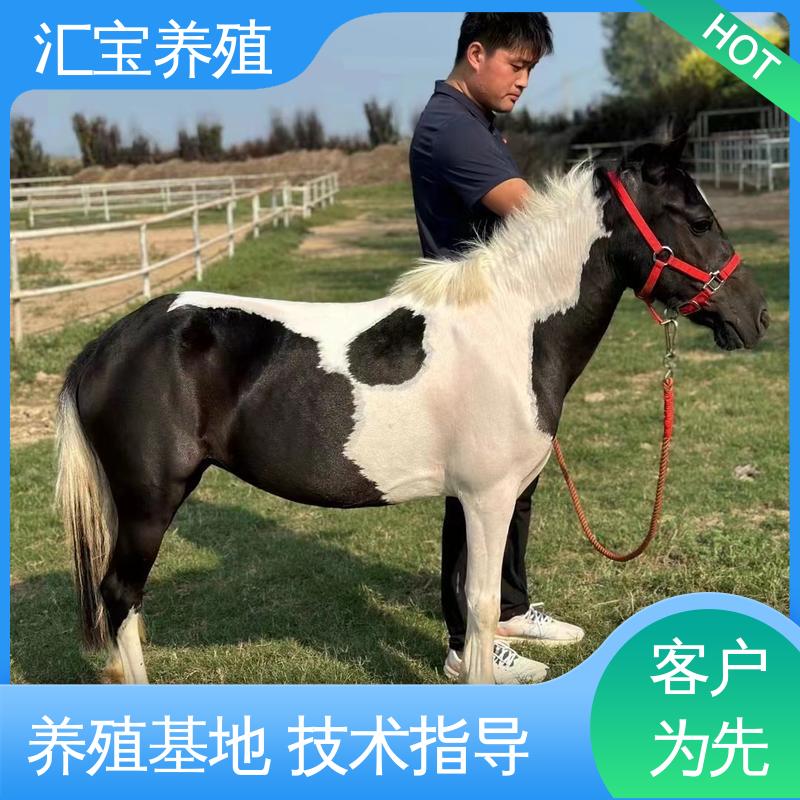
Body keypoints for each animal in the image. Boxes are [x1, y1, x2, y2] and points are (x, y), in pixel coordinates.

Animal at [55, 137, 768, 684]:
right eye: (697, 221)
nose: (756, 316)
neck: (510, 330)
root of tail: (105, 344)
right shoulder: (487, 498)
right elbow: (480, 605)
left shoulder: (475, 497)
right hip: (149, 503)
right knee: (119, 597)